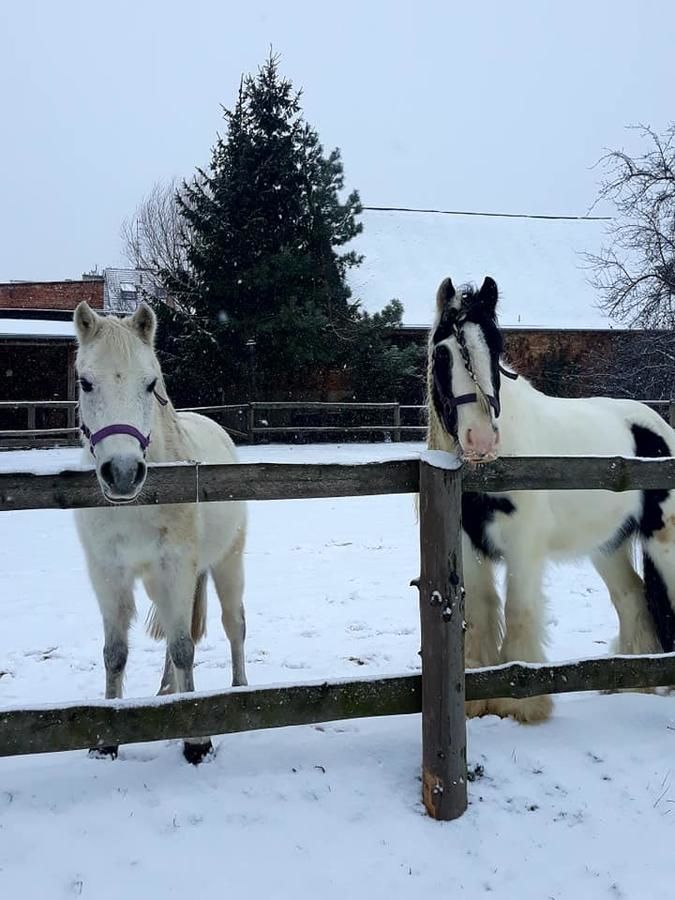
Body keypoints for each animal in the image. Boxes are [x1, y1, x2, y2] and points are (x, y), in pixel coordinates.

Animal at [74, 300, 248, 760]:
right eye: (86, 383)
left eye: (150, 383)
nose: (121, 473)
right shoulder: (108, 575)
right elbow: (115, 654)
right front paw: (108, 742)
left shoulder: (177, 568)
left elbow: (185, 647)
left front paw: (196, 741)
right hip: (159, 582)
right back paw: (166, 693)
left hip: (227, 562)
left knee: (233, 624)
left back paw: (239, 692)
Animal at [428, 274, 675, 724]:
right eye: (444, 352)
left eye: (496, 348)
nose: (481, 440)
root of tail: (659, 427)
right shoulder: (469, 547)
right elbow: (481, 614)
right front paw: (475, 702)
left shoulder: (524, 548)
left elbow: (519, 611)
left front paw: (523, 705)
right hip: (607, 546)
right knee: (631, 597)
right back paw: (637, 683)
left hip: (665, 541)